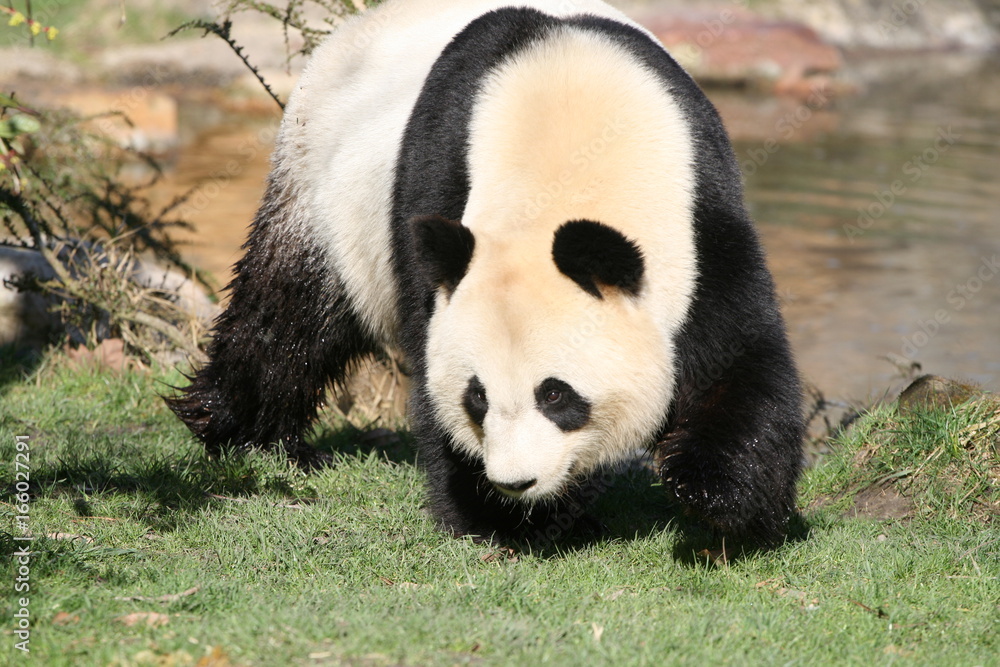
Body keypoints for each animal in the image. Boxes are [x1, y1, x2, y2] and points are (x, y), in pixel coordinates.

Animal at [168, 0, 805, 548]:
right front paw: (501, 519)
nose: (516, 482)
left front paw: (720, 494)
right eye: (477, 396)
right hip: (318, 178)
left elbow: (738, 355)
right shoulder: (439, 191)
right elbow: (428, 348)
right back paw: (247, 431)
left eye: (556, 393)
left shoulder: (702, 210)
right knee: (291, 309)